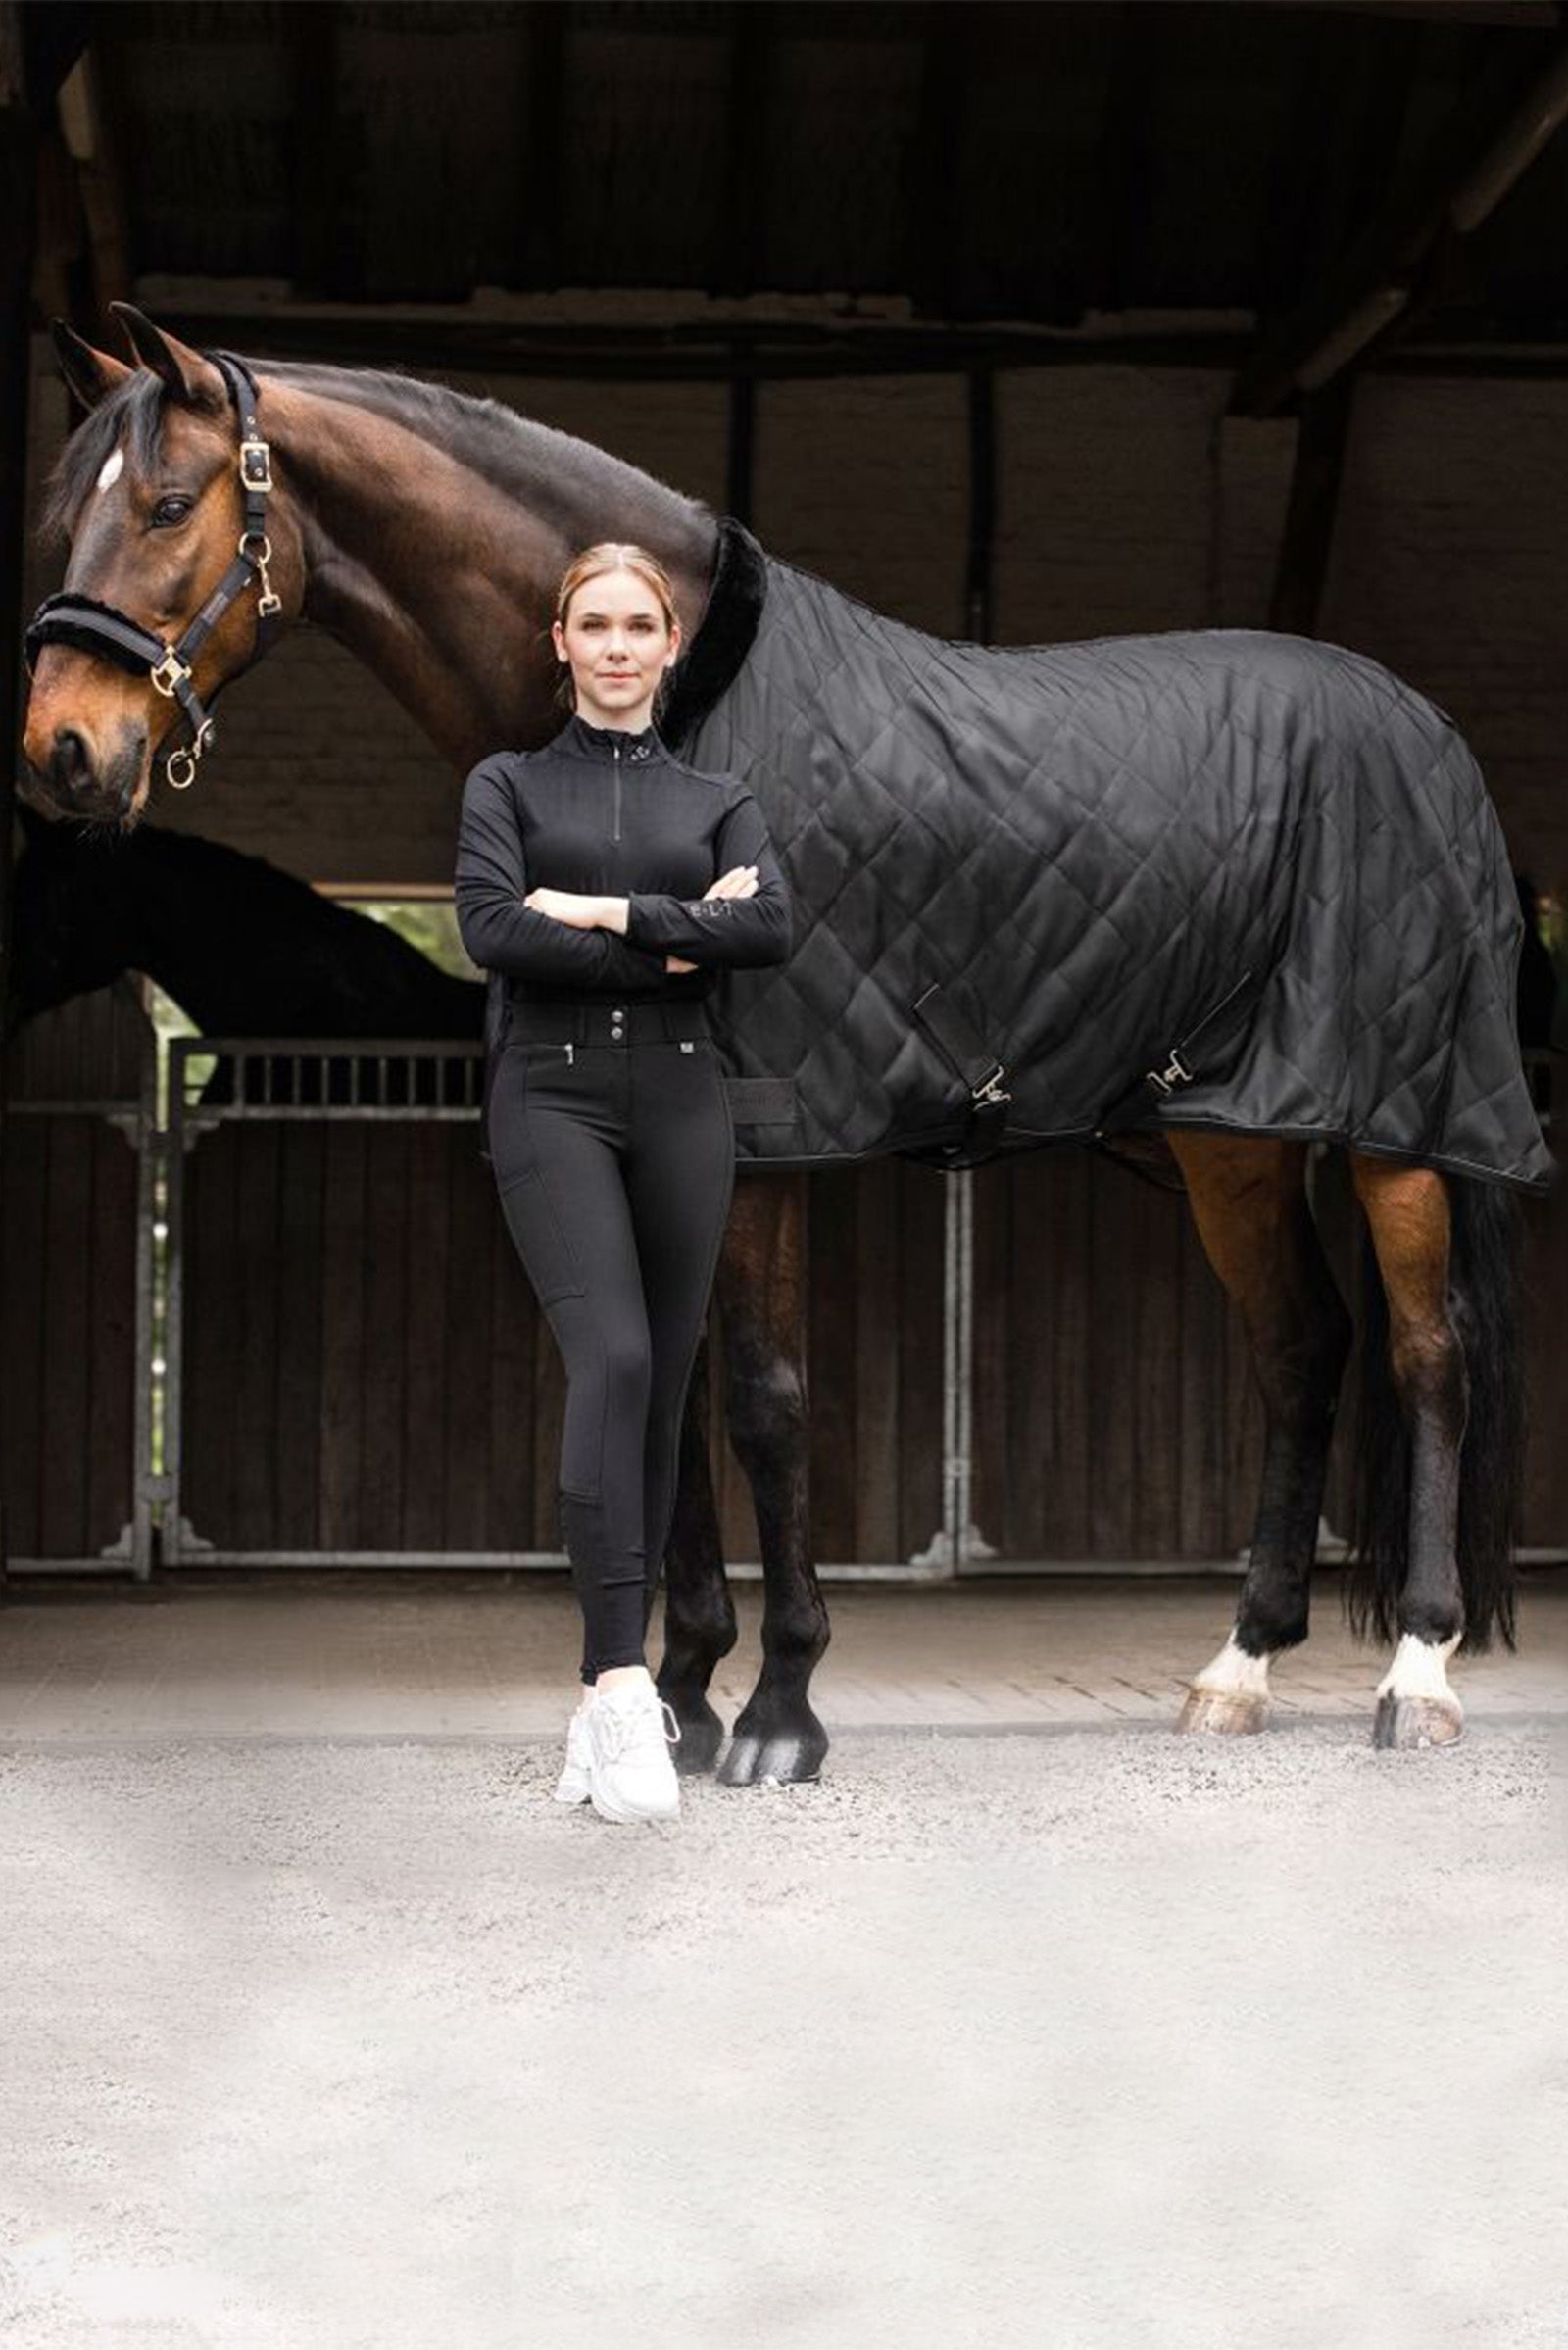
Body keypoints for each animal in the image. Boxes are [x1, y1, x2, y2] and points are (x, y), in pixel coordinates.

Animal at [19, 305, 1550, 1763]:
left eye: (167, 504)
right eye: (61, 514)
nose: (62, 752)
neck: (685, 716)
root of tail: (1425, 727)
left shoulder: (764, 1140)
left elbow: (761, 1397)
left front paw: (779, 1706)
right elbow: (670, 1383)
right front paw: (687, 1688)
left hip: (1401, 1125)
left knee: (1428, 1354)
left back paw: (1417, 1672)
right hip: (1231, 1132)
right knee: (1302, 1348)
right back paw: (1238, 1666)